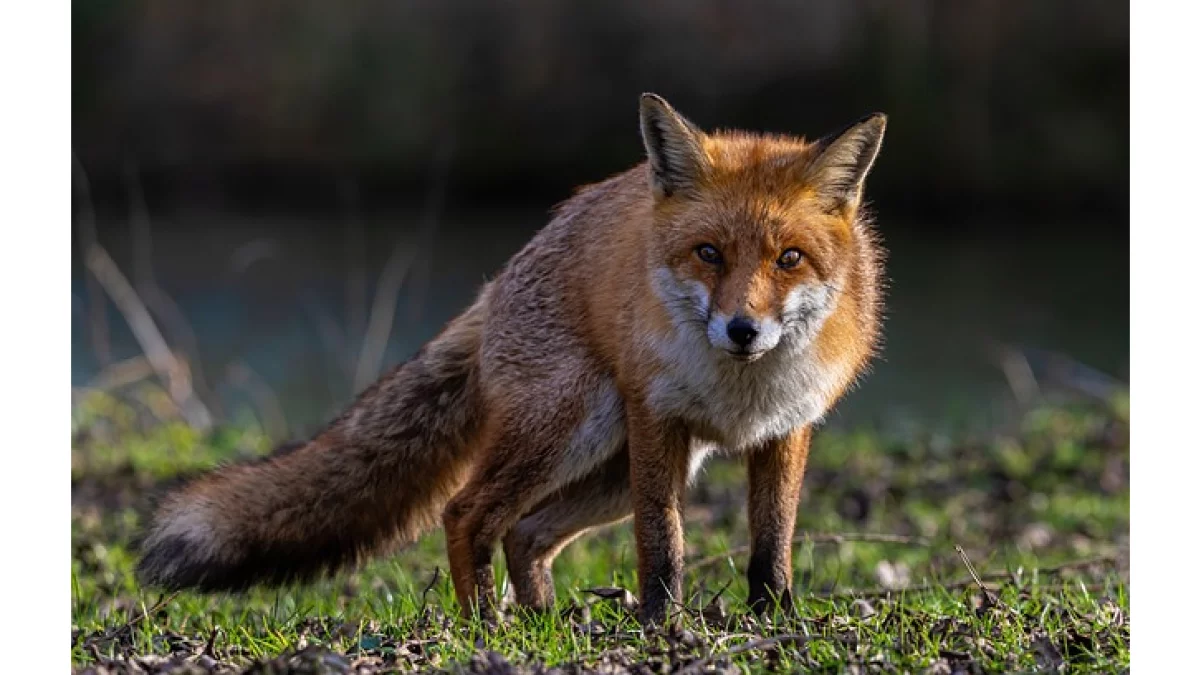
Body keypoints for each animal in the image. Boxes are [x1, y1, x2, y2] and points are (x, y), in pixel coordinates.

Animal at [142, 93, 892, 619]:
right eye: (708, 253)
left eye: (788, 258)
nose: (742, 329)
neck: (741, 390)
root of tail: (499, 279)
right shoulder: (657, 418)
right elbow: (663, 544)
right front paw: (663, 625)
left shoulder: (787, 428)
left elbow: (772, 542)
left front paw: (775, 620)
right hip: (577, 429)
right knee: (467, 513)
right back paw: (487, 624)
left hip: (613, 467)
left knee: (526, 531)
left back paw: (545, 621)